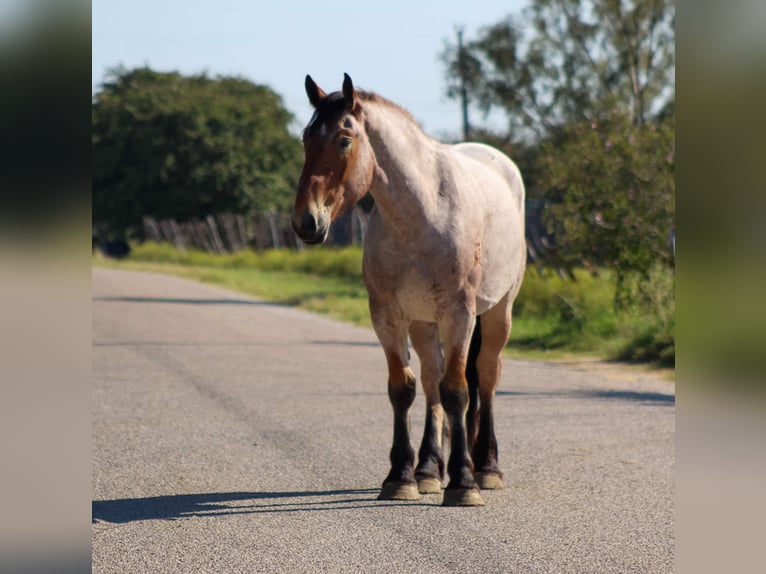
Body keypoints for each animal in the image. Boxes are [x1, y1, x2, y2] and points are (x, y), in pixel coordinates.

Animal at [292, 74, 526, 506]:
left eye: (344, 140)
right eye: (305, 138)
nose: (306, 222)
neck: (424, 213)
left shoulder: (459, 315)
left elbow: (458, 392)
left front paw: (463, 483)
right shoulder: (387, 316)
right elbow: (404, 390)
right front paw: (401, 477)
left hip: (498, 310)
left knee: (486, 376)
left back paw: (486, 468)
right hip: (423, 322)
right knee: (432, 380)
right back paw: (430, 470)